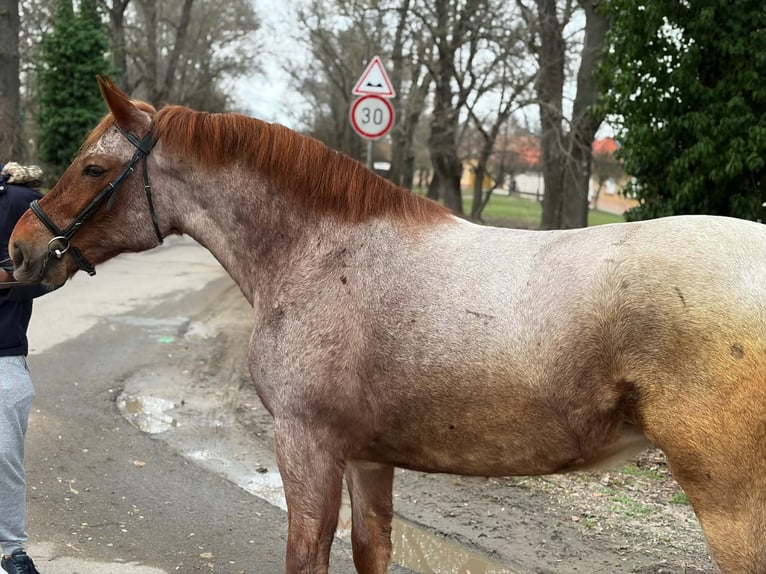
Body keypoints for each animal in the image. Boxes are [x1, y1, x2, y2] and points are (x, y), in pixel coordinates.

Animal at [8, 76, 766, 573]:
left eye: (94, 167)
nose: (19, 248)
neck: (324, 253)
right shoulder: (367, 457)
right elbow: (372, 550)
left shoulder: (305, 445)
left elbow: (307, 555)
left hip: (733, 506)